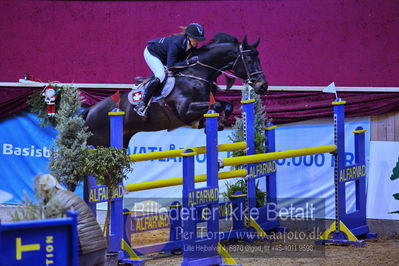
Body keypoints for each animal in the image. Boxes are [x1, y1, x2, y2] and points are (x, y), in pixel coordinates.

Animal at [86, 33, 270, 148]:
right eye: (248, 60)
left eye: (259, 58)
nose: (263, 86)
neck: (197, 73)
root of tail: (89, 112)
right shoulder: (184, 110)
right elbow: (217, 105)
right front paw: (210, 124)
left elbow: (227, 105)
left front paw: (217, 123)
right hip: (101, 143)